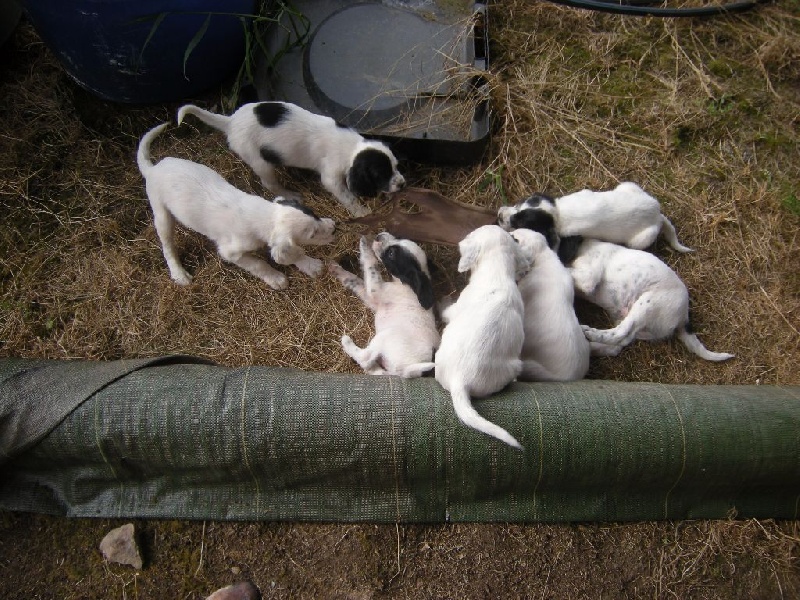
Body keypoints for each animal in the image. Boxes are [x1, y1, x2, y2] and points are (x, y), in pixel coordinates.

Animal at [137, 123, 335, 289]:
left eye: (315, 214)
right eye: (312, 234)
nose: (335, 228)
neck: (262, 214)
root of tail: (153, 169)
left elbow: (293, 252)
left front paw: (310, 265)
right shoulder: (230, 252)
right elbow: (259, 263)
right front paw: (276, 278)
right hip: (161, 213)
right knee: (167, 246)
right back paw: (179, 274)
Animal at [177, 101, 406, 217]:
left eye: (396, 166)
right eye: (380, 174)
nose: (403, 184)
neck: (353, 148)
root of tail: (231, 122)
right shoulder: (331, 177)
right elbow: (348, 197)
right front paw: (362, 211)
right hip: (260, 161)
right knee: (269, 183)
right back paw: (291, 194)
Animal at [329, 233, 439, 378]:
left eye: (391, 253)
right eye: (399, 238)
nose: (378, 235)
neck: (404, 284)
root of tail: (409, 371)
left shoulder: (375, 289)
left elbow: (371, 266)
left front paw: (365, 245)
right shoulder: (371, 298)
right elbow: (354, 281)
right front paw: (336, 269)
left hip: (385, 335)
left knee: (365, 359)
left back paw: (347, 342)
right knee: (373, 368)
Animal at [497, 182, 693, 253]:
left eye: (517, 223)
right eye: (518, 204)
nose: (499, 215)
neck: (558, 212)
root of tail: (657, 214)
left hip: (642, 239)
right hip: (627, 185)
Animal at [564, 238, 734, 361]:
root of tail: (684, 316)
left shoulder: (588, 277)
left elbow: (569, 270)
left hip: (647, 304)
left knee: (620, 333)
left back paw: (589, 333)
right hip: (641, 324)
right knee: (621, 342)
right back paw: (592, 346)